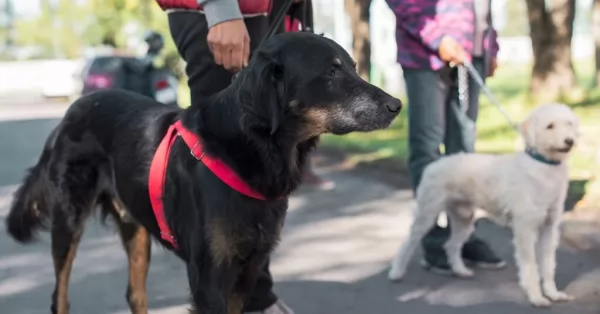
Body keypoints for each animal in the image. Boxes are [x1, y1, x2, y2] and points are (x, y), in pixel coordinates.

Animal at [5, 32, 404, 314]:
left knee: (135, 295)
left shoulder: (248, 268)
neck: (253, 148)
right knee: (60, 295)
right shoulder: (209, 277)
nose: (397, 105)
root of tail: (71, 110)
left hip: (135, 228)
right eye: (331, 72)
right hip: (69, 221)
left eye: (353, 67)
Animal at [390, 103, 580, 306]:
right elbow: (530, 268)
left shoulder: (549, 230)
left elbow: (548, 266)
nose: (569, 141)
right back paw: (397, 272)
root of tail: (436, 163)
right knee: (408, 242)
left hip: (464, 219)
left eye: (569, 124)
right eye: (550, 126)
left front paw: (553, 293)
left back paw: (460, 270)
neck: (543, 167)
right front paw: (536, 297)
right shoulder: (525, 230)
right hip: (427, 214)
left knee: (451, 245)